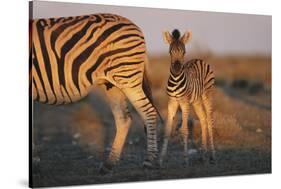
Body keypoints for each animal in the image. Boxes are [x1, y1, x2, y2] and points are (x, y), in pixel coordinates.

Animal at [29, 12, 161, 173]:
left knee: (149, 112)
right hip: (111, 84)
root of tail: (134, 25)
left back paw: (149, 161)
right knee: (123, 118)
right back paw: (109, 164)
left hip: (127, 77)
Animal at [159, 28, 215, 166]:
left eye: (184, 52)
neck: (175, 80)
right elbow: (167, 131)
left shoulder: (184, 103)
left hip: (207, 95)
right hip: (196, 101)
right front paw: (161, 160)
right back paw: (203, 155)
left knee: (210, 120)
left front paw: (185, 160)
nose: (177, 68)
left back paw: (212, 156)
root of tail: (200, 59)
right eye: (170, 52)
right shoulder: (172, 102)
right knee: (203, 119)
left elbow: (184, 130)